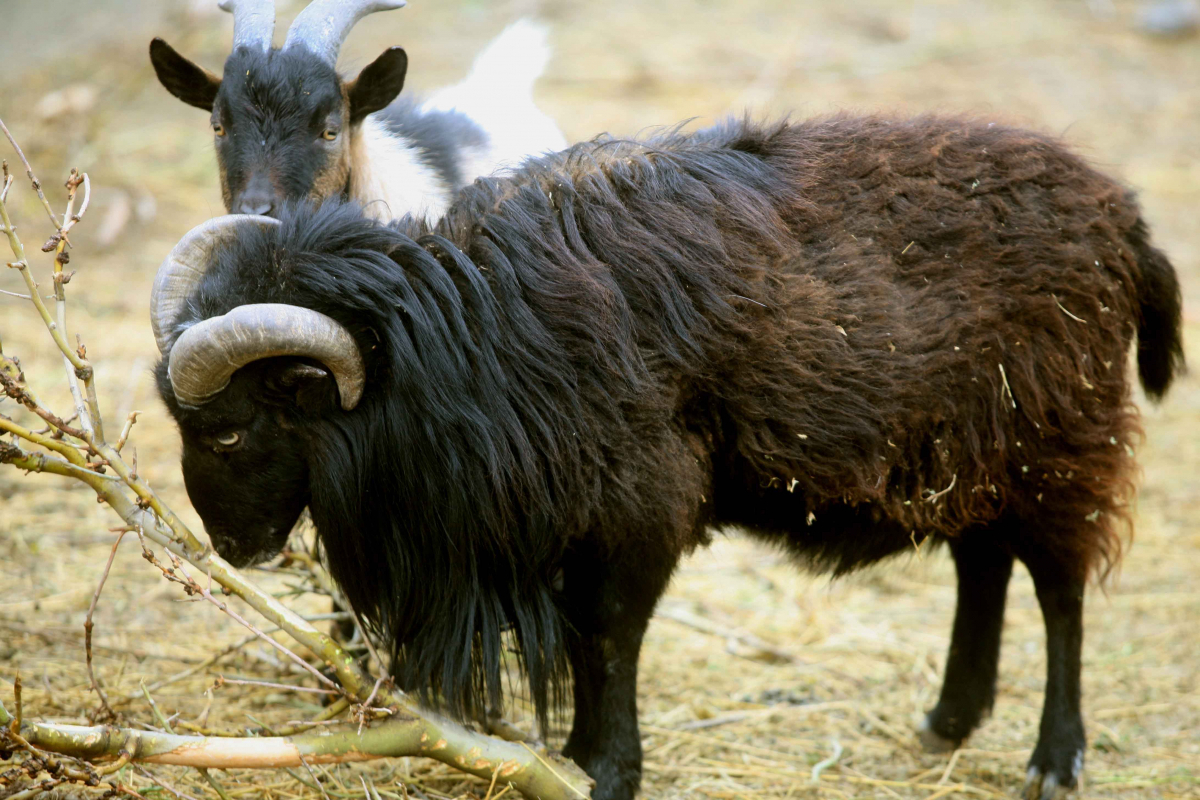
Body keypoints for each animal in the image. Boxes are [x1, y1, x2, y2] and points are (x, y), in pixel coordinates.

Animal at [154, 112, 1185, 800]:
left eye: (230, 428)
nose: (233, 551)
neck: (466, 338)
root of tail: (1124, 218)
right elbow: (586, 640)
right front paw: (577, 756)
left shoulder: (638, 512)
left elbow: (610, 638)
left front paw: (606, 770)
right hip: (971, 458)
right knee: (983, 566)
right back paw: (947, 722)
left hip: (1060, 442)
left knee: (1059, 593)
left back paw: (1054, 760)